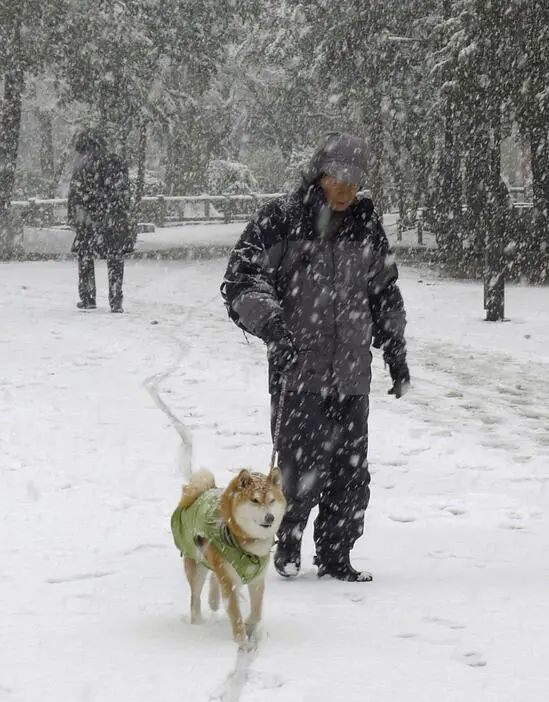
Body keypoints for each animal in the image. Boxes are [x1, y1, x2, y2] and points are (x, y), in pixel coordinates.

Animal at [171, 470, 286, 652]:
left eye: (272, 500)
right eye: (254, 500)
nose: (270, 517)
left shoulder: (257, 579)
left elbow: (257, 612)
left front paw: (249, 627)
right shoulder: (229, 580)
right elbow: (236, 615)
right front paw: (243, 644)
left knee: (214, 578)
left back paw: (213, 600)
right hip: (197, 564)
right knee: (195, 597)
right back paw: (198, 623)